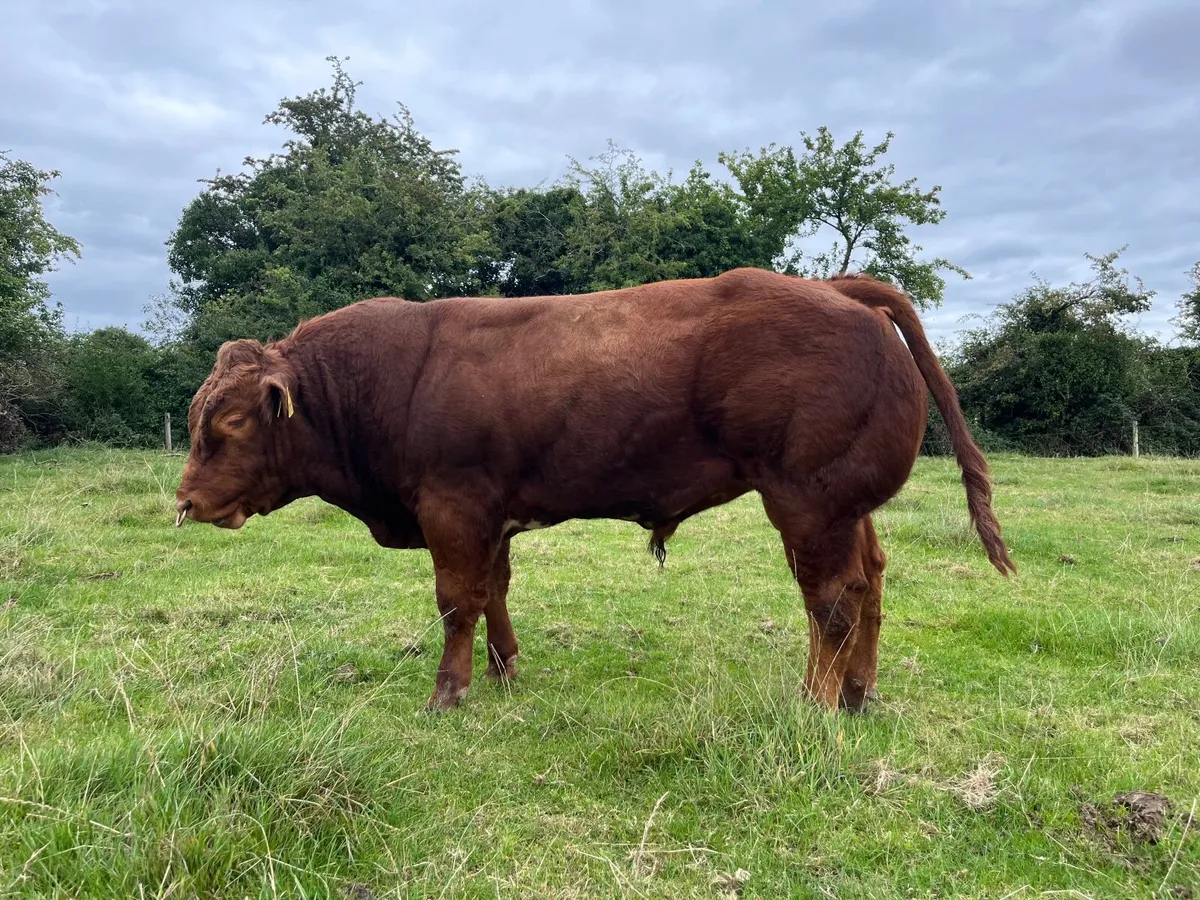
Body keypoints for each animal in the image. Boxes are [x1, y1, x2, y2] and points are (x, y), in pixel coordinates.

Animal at [174, 267, 1015, 712]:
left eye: (235, 420)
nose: (186, 502)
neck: (386, 380)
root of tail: (835, 288)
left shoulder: (452, 507)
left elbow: (456, 601)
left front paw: (449, 691)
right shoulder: (492, 516)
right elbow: (495, 591)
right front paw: (506, 668)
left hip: (808, 502)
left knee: (831, 600)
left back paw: (814, 700)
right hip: (848, 506)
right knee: (870, 582)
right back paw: (858, 693)